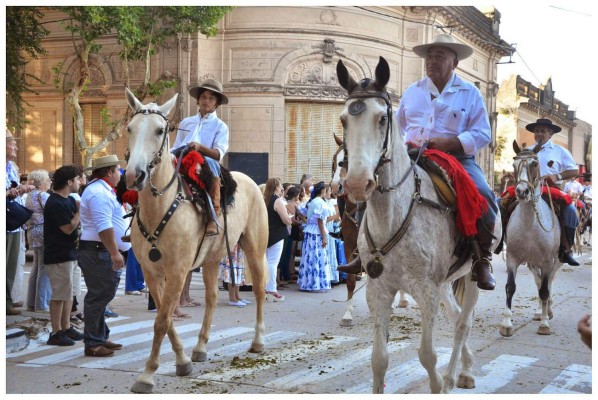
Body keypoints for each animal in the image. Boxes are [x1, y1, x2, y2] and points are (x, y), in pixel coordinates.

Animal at [124, 88, 270, 394]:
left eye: (159, 130)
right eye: (130, 128)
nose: (135, 175)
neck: (160, 209)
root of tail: (251, 182)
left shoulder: (178, 271)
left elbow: (161, 321)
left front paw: (147, 375)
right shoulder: (151, 272)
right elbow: (165, 318)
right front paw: (181, 361)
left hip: (254, 248)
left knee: (260, 289)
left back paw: (257, 342)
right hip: (212, 259)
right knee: (212, 298)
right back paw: (201, 347)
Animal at [330, 134, 410, 328]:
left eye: (346, 161)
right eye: (334, 161)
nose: (336, 187)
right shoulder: (349, 246)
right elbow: (351, 280)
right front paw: (347, 314)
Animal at [338, 56, 502, 394]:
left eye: (382, 119)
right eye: (344, 119)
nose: (357, 184)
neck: (393, 216)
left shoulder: (426, 291)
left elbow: (427, 355)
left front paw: (440, 383)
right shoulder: (378, 291)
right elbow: (379, 360)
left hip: (470, 276)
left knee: (463, 323)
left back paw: (453, 376)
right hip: (445, 283)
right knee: (456, 316)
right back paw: (465, 370)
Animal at [500, 142, 564, 336]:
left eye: (534, 164)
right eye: (514, 165)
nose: (522, 191)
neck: (530, 224)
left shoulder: (547, 261)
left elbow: (544, 290)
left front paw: (544, 324)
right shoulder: (512, 258)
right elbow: (510, 287)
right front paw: (506, 323)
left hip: (556, 260)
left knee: (548, 283)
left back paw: (547, 311)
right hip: (532, 262)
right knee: (539, 281)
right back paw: (540, 311)